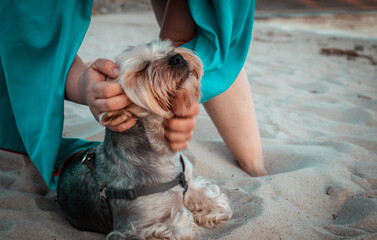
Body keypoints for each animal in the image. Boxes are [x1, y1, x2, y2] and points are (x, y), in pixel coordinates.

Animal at [57, 40, 231, 239]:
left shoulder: (188, 181)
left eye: (166, 50)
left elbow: (209, 196)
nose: (177, 57)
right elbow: (180, 223)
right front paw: (184, 213)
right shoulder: (133, 229)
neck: (162, 153)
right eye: (141, 69)